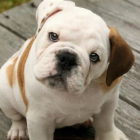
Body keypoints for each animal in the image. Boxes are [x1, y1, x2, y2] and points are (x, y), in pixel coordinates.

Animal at [0, 0, 135, 140]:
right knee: (15, 117)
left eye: (94, 56)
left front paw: (110, 136)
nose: (68, 58)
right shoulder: (39, 120)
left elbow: (106, 123)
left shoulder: (108, 103)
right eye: (53, 36)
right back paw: (18, 130)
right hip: (4, 92)